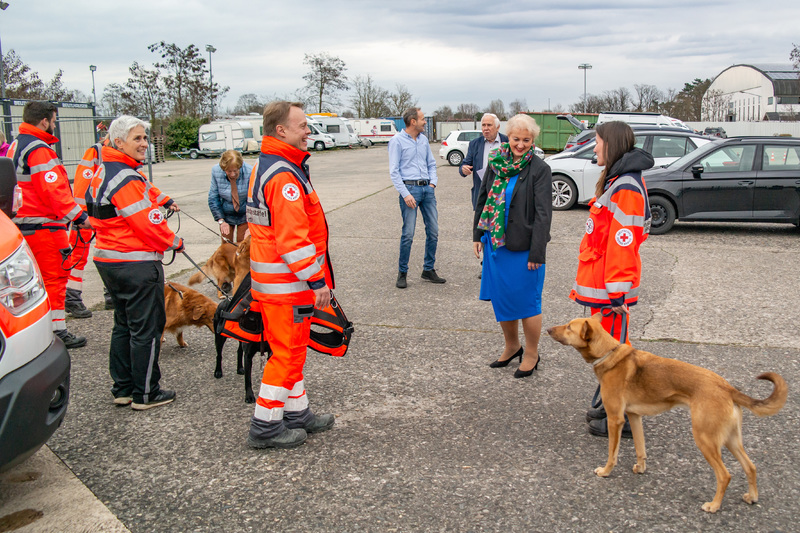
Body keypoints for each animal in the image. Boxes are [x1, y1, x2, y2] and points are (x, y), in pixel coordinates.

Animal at [548, 314, 784, 512]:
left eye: (569, 327)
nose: (549, 329)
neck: (608, 353)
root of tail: (727, 388)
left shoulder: (615, 419)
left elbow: (612, 454)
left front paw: (606, 472)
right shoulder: (634, 417)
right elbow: (640, 448)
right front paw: (641, 468)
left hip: (705, 439)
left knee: (725, 475)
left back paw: (714, 505)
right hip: (731, 440)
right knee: (750, 466)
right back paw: (752, 497)